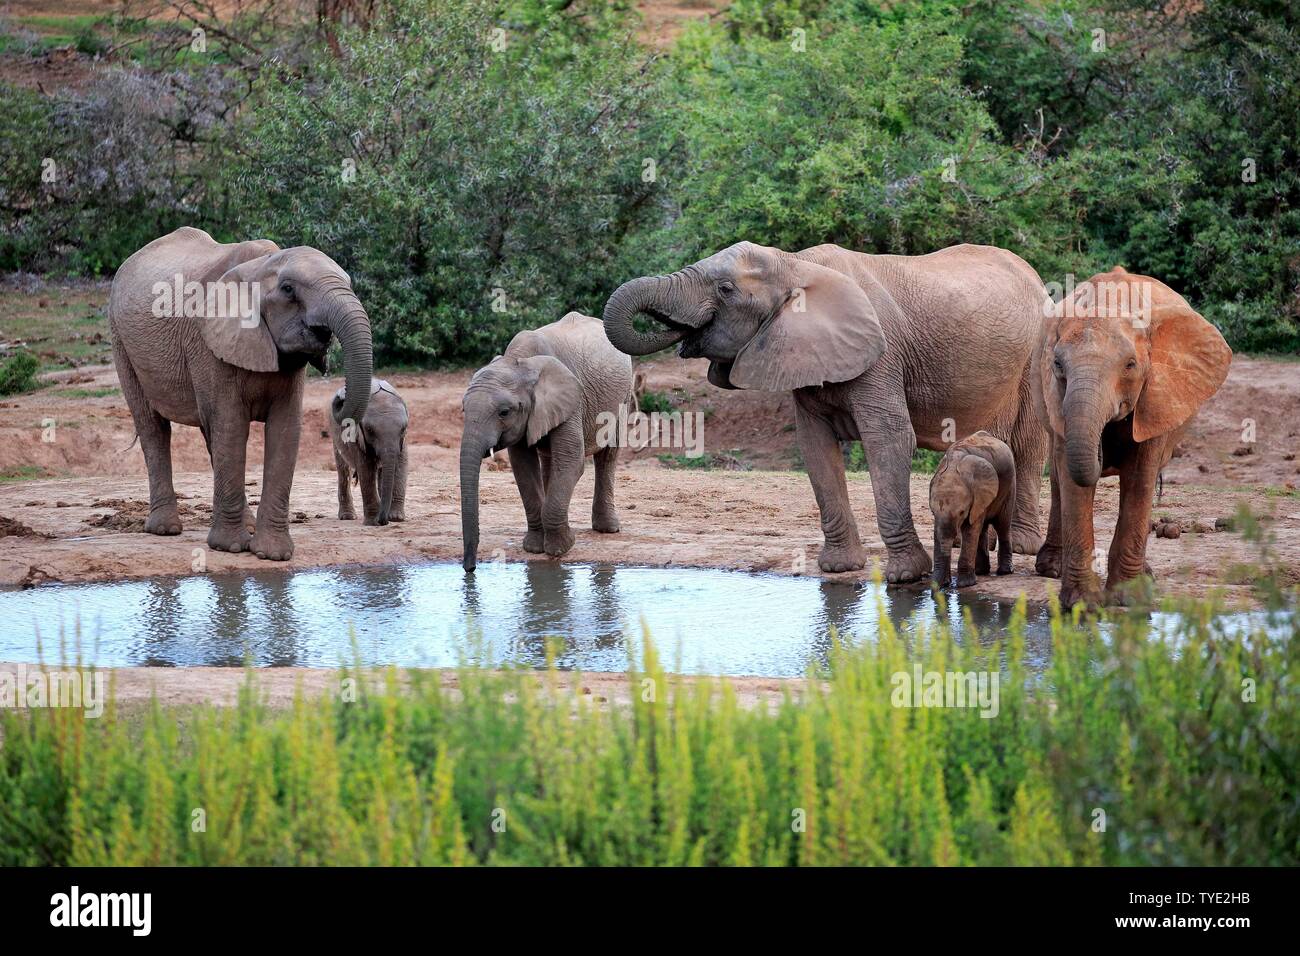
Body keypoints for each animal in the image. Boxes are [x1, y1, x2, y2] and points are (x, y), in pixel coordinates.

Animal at [108, 225, 374, 561]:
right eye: (288, 289)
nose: (338, 402)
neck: (261, 266)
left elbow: (285, 429)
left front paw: (272, 555)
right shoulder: (207, 342)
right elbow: (231, 426)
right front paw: (231, 548)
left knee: (208, 434)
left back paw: (243, 524)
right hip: (121, 342)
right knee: (153, 427)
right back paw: (165, 529)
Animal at [327, 377, 408, 528]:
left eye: (403, 429)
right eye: (369, 430)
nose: (383, 521)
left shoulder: (403, 441)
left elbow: (401, 464)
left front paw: (396, 518)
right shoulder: (356, 437)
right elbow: (366, 468)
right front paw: (373, 522)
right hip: (335, 436)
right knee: (343, 469)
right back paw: (348, 517)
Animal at [462, 314, 634, 572]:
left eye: (504, 412)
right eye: (463, 409)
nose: (470, 569)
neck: (520, 362)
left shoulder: (572, 400)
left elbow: (572, 461)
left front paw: (559, 549)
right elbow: (523, 467)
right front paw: (534, 548)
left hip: (623, 396)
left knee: (607, 454)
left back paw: (607, 529)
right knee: (550, 460)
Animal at [930, 429, 1019, 587]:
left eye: (961, 512)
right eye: (933, 512)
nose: (942, 585)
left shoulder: (978, 494)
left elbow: (970, 530)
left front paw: (966, 584)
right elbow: (939, 533)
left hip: (1010, 486)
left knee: (1002, 525)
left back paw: (1005, 572)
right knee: (982, 528)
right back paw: (981, 571)